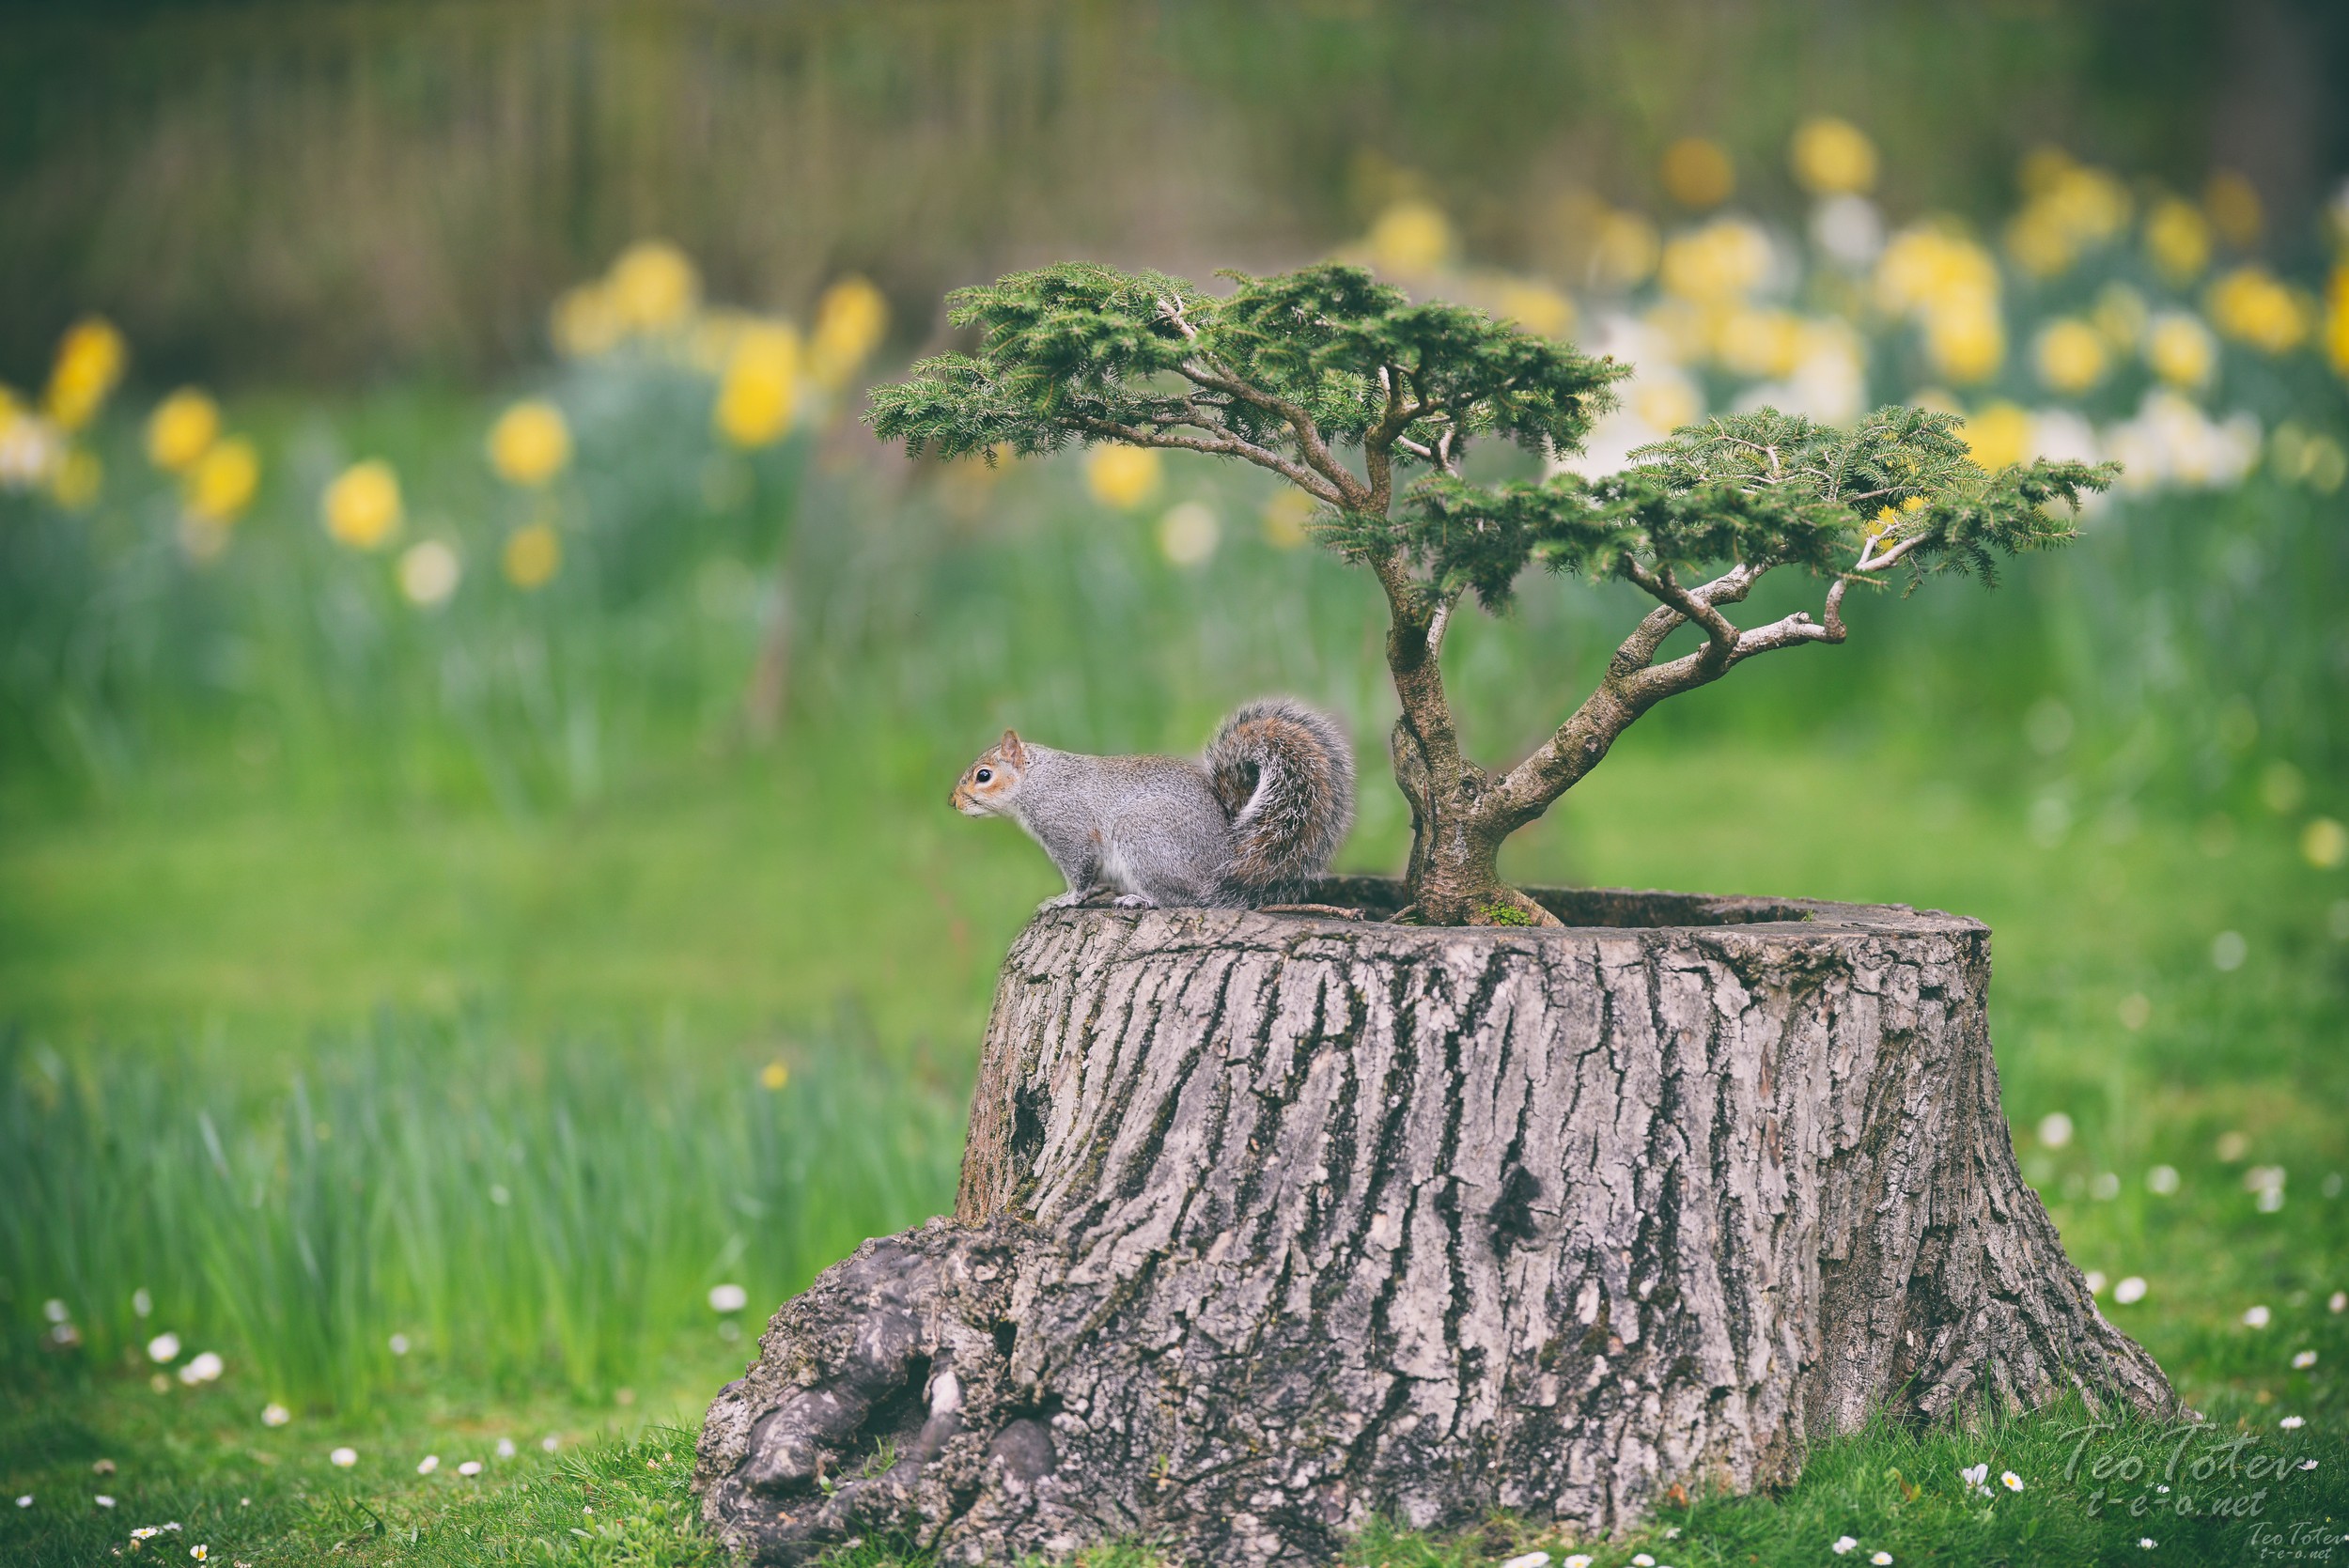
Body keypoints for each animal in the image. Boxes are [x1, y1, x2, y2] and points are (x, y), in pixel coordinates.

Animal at [949, 699, 1355, 911]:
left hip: (1143, 836)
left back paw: (1138, 899)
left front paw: (1066, 900)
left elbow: (1080, 871)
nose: (952, 802)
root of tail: (1222, 862)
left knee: (1183, 900)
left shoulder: (1068, 827)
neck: (1038, 781)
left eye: (984, 775)